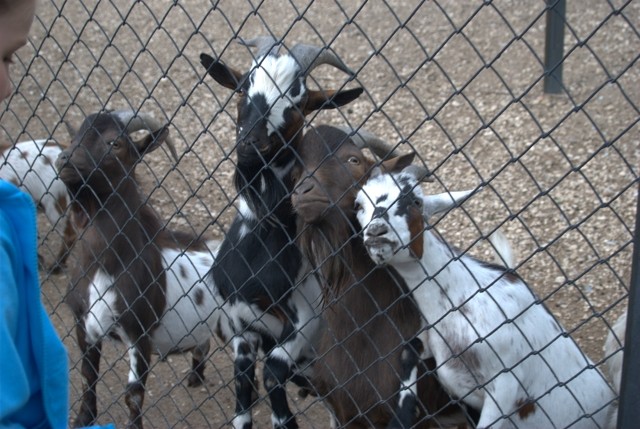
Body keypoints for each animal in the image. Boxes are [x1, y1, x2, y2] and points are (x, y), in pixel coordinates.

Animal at [57, 109, 222, 428]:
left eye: (115, 143)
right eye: (74, 136)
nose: (64, 159)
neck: (107, 264)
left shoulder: (139, 332)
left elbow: (133, 394)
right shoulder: (83, 322)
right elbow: (87, 375)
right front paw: (83, 419)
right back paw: (195, 376)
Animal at [200, 36, 362, 428]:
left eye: (298, 99)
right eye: (244, 86)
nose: (250, 143)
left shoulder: (304, 323)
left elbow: (273, 380)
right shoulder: (242, 327)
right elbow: (243, 391)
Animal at [356, 167, 616, 428]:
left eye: (416, 201)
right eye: (359, 205)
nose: (376, 232)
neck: (461, 299)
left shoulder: (506, 383)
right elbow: (411, 349)